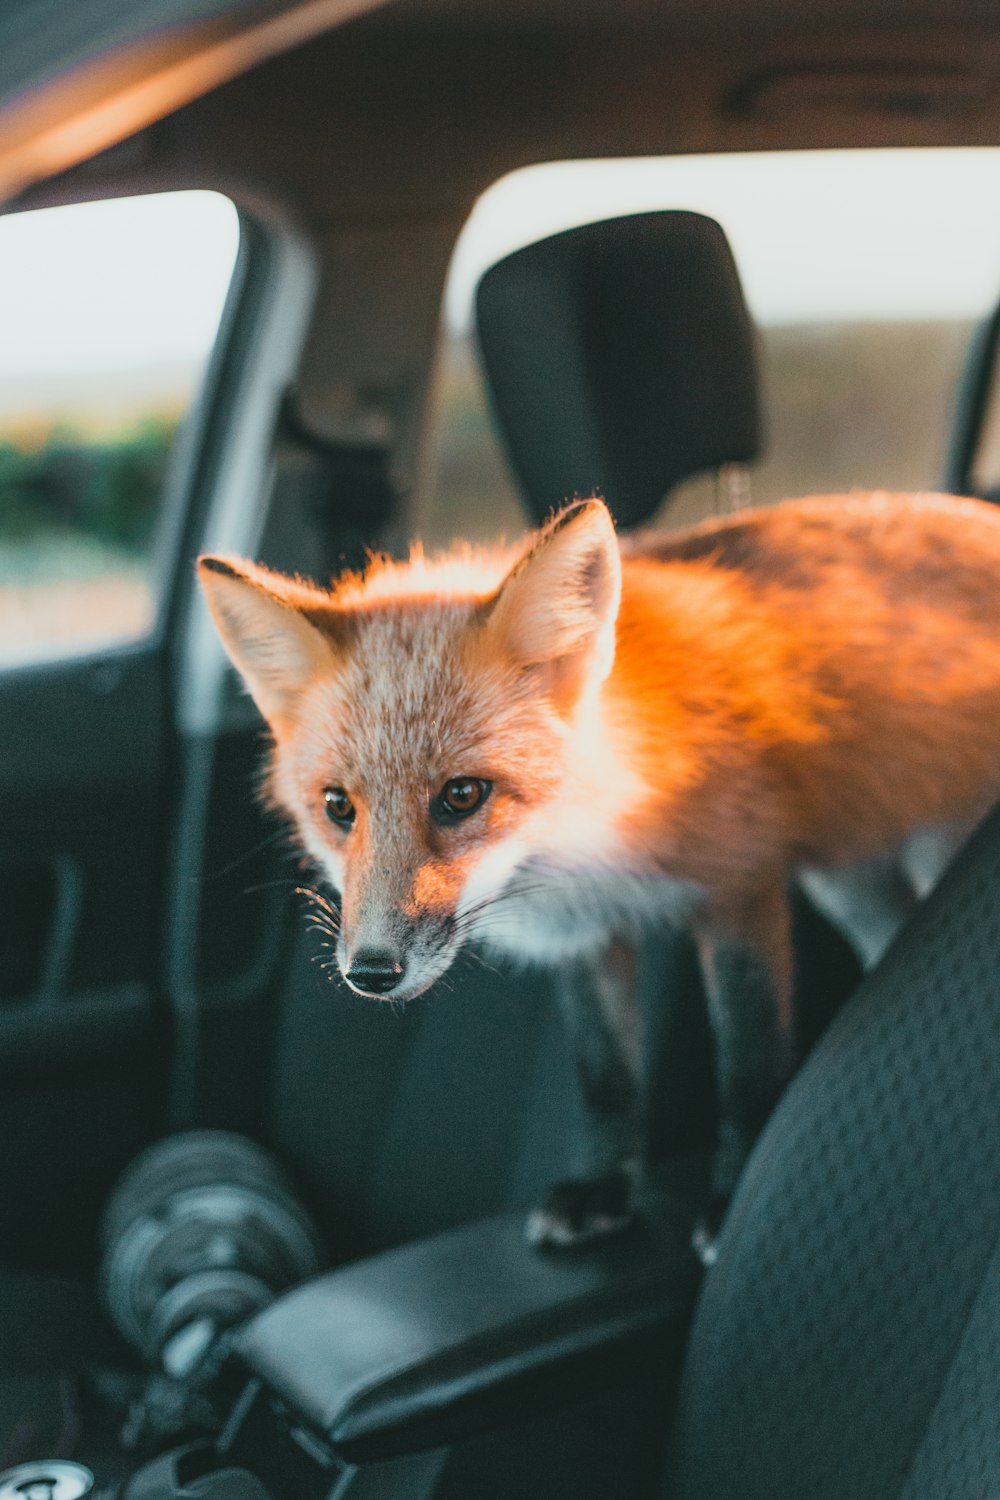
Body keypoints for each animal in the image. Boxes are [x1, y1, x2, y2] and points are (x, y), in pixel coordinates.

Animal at [197, 495, 1000, 1254]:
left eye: (462, 795)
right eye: (339, 807)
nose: (370, 972)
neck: (591, 846)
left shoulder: (742, 889)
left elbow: (747, 1063)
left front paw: (729, 1198)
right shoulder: (580, 936)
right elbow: (607, 1079)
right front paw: (603, 1193)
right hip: (849, 878)